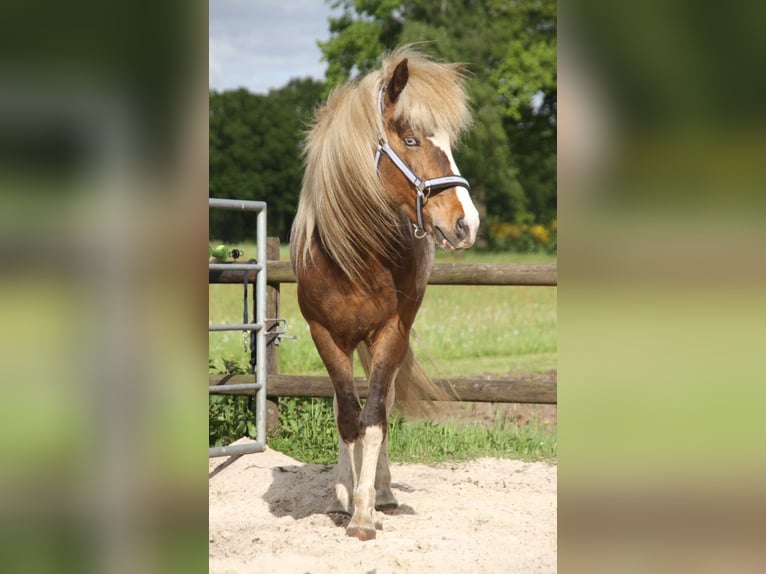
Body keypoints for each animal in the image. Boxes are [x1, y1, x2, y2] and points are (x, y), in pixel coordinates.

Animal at [290, 46, 480, 540]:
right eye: (411, 140)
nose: (467, 223)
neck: (354, 258)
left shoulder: (391, 333)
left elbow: (374, 417)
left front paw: (365, 511)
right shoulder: (325, 336)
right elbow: (346, 416)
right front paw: (345, 498)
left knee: (385, 403)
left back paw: (383, 492)